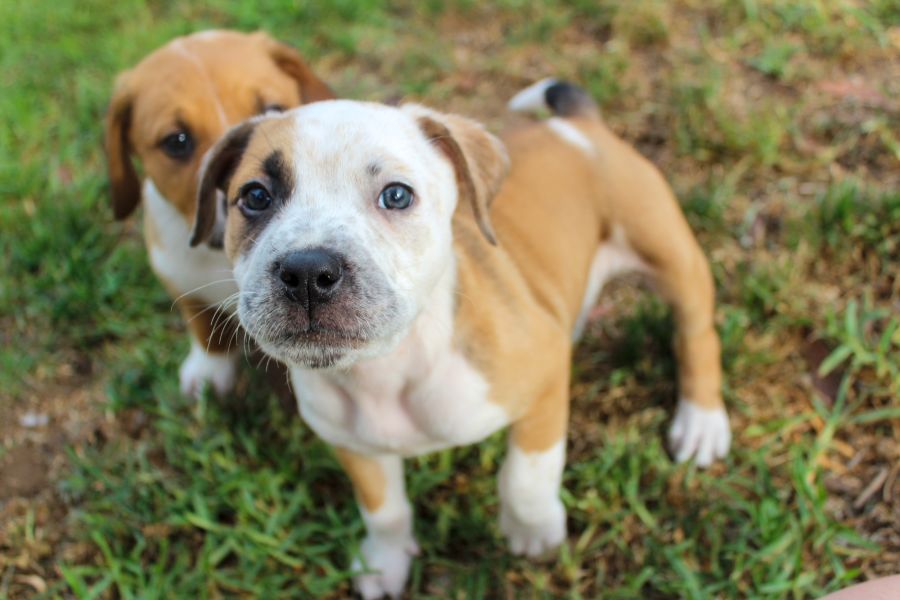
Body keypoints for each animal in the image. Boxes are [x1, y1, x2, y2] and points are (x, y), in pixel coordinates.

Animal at [105, 30, 334, 398]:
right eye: (177, 141)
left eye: (273, 113)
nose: (249, 193)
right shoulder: (179, 276)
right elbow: (202, 325)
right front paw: (208, 373)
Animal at [190, 80, 732, 598]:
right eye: (255, 197)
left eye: (397, 195)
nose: (306, 272)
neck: (387, 370)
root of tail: (578, 124)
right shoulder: (352, 444)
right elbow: (384, 510)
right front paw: (385, 562)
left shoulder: (545, 380)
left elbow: (526, 476)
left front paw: (534, 534)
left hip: (670, 255)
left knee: (696, 334)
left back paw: (701, 421)